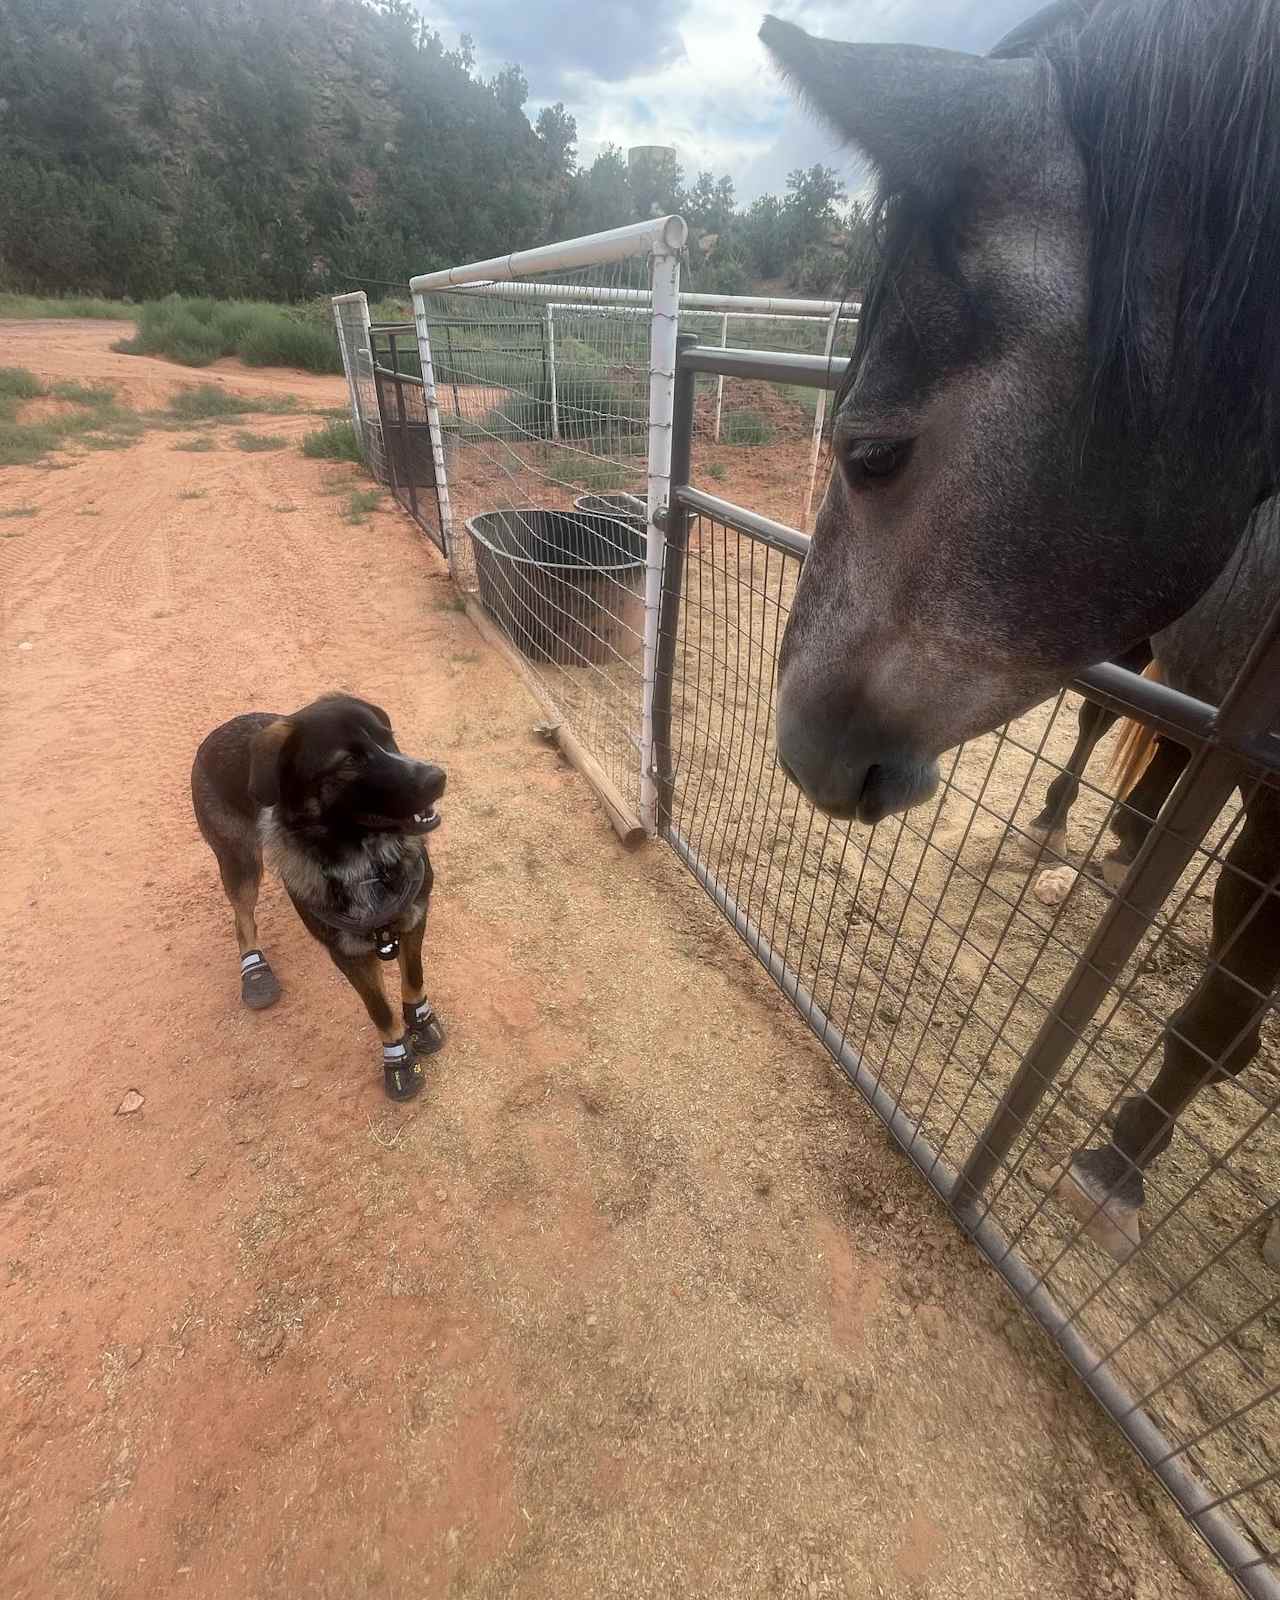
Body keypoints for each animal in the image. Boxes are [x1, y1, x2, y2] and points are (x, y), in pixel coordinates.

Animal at [190, 694, 448, 1094]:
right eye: (349, 761)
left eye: (388, 737)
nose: (437, 778)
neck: (366, 862)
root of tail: (219, 731)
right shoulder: (348, 954)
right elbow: (380, 1010)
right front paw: (398, 1061)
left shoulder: (413, 919)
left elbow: (413, 979)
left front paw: (421, 1022)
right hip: (240, 863)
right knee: (243, 919)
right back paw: (255, 970)